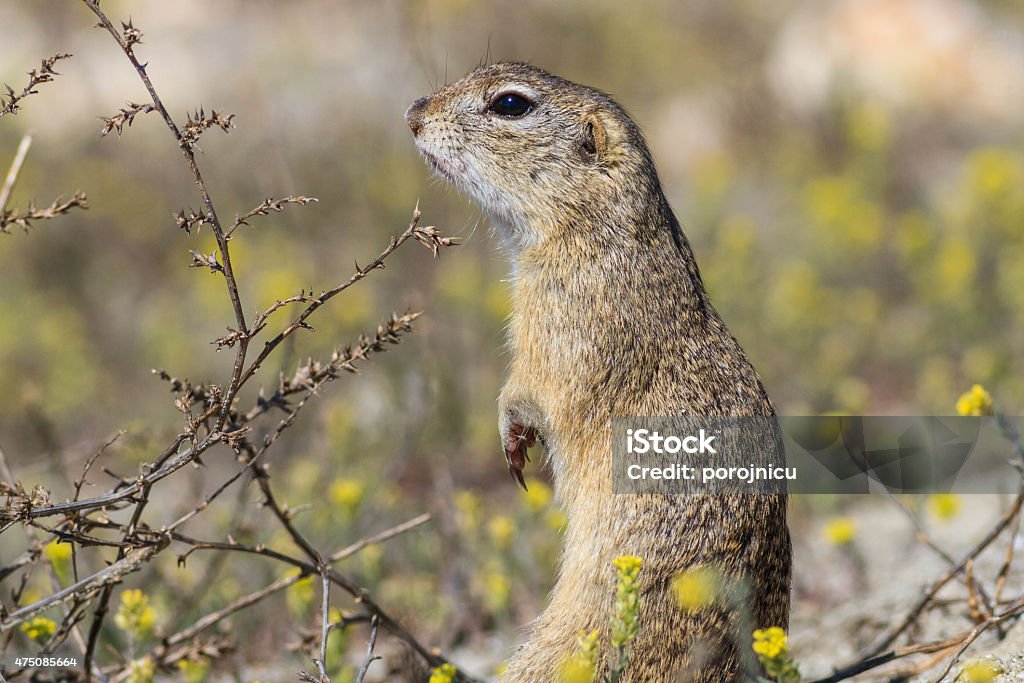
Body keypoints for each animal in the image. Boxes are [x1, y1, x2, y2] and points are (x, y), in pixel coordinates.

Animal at [407, 63, 790, 683]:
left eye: (510, 104)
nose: (414, 113)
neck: (590, 227)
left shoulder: (562, 323)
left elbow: (532, 386)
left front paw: (512, 438)